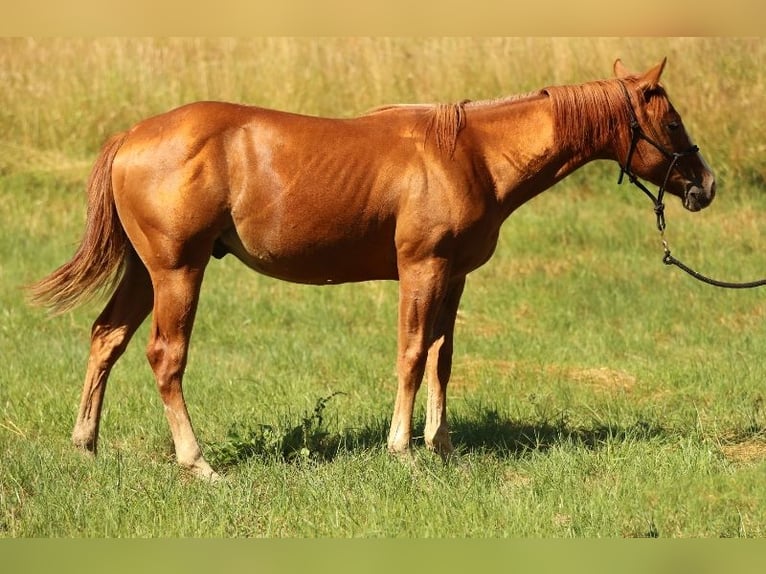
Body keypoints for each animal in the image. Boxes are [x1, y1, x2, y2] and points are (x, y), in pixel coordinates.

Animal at [28, 58, 712, 482]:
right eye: (673, 118)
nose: (705, 184)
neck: (471, 154)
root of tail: (133, 135)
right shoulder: (421, 268)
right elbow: (410, 354)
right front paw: (403, 449)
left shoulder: (454, 276)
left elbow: (441, 356)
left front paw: (442, 446)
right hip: (177, 272)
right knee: (164, 357)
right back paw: (198, 463)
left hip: (145, 273)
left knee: (106, 338)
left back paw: (86, 445)